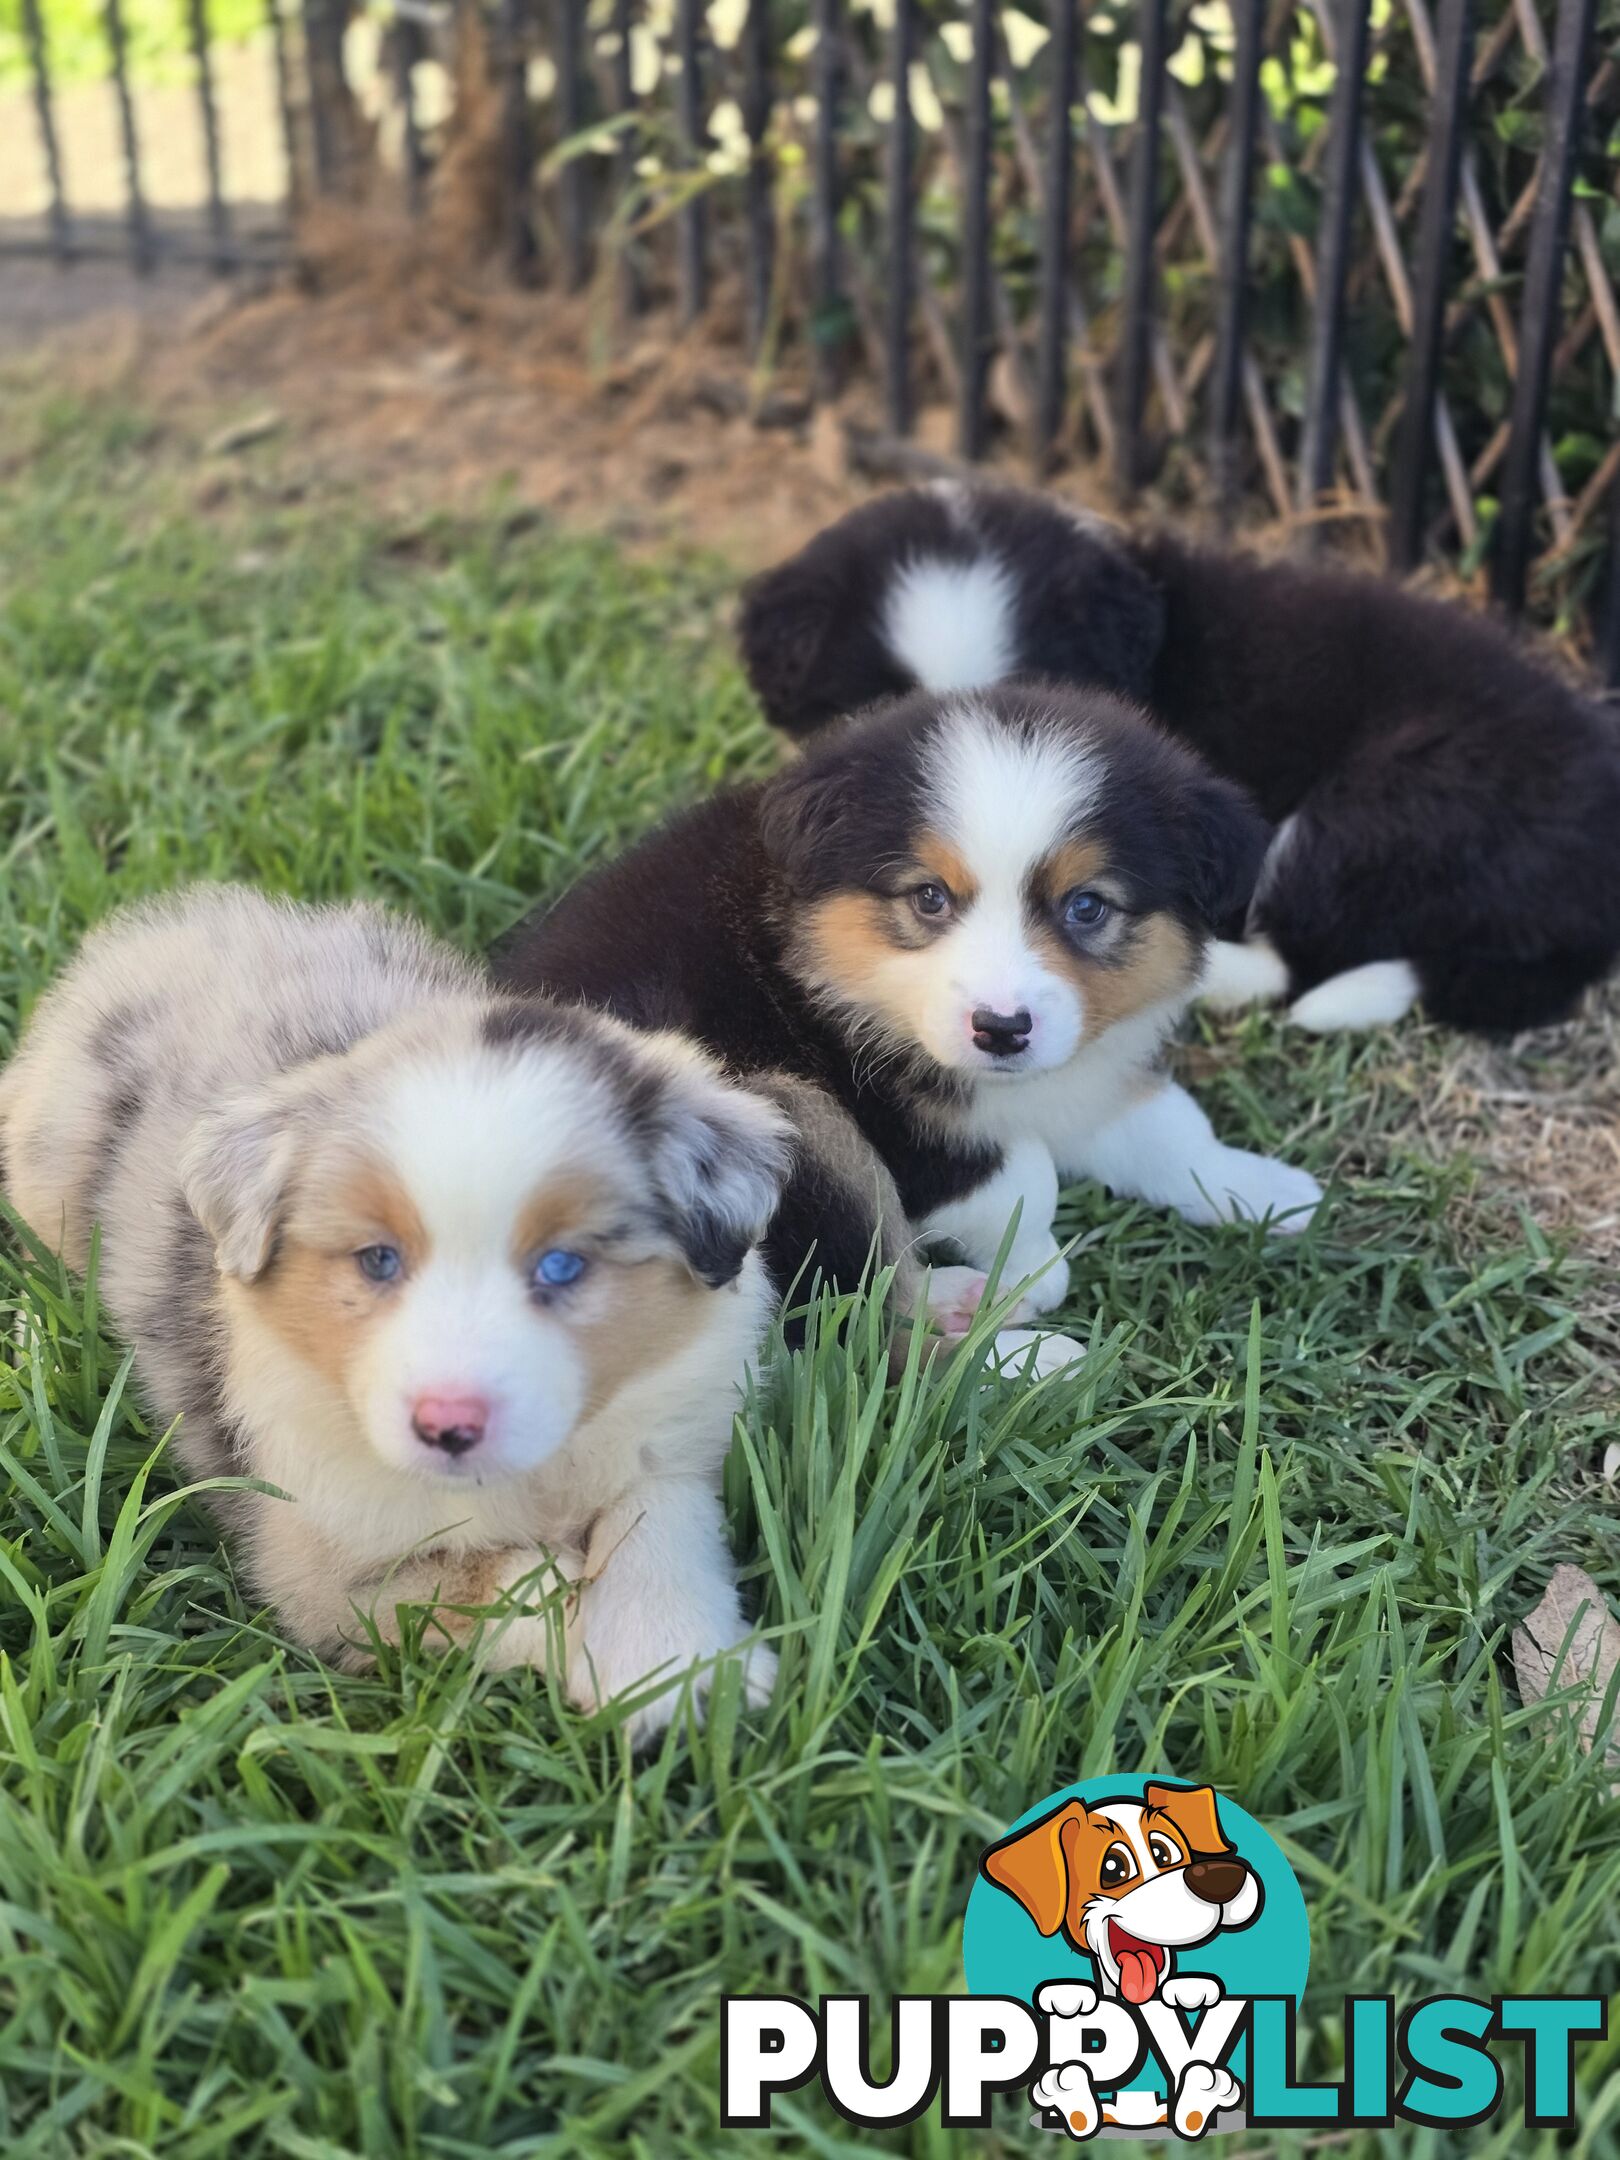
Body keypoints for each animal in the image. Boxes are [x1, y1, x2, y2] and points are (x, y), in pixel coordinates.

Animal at [0, 876, 786, 1736]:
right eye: (378, 1259)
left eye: (562, 1264)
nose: (449, 1425)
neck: (527, 1479)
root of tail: (146, 941)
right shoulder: (320, 1569)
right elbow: (513, 1583)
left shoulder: (680, 1425)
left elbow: (656, 1512)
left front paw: (680, 1664)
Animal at [494, 678, 1321, 1347]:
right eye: (929, 897)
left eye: (1086, 907)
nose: (1002, 1030)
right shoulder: (891, 1114)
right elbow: (1022, 1176)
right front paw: (1034, 1264)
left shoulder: (1083, 1062)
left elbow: (1162, 1122)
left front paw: (1263, 1188)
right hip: (781, 1119)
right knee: (852, 1336)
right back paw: (1027, 1358)